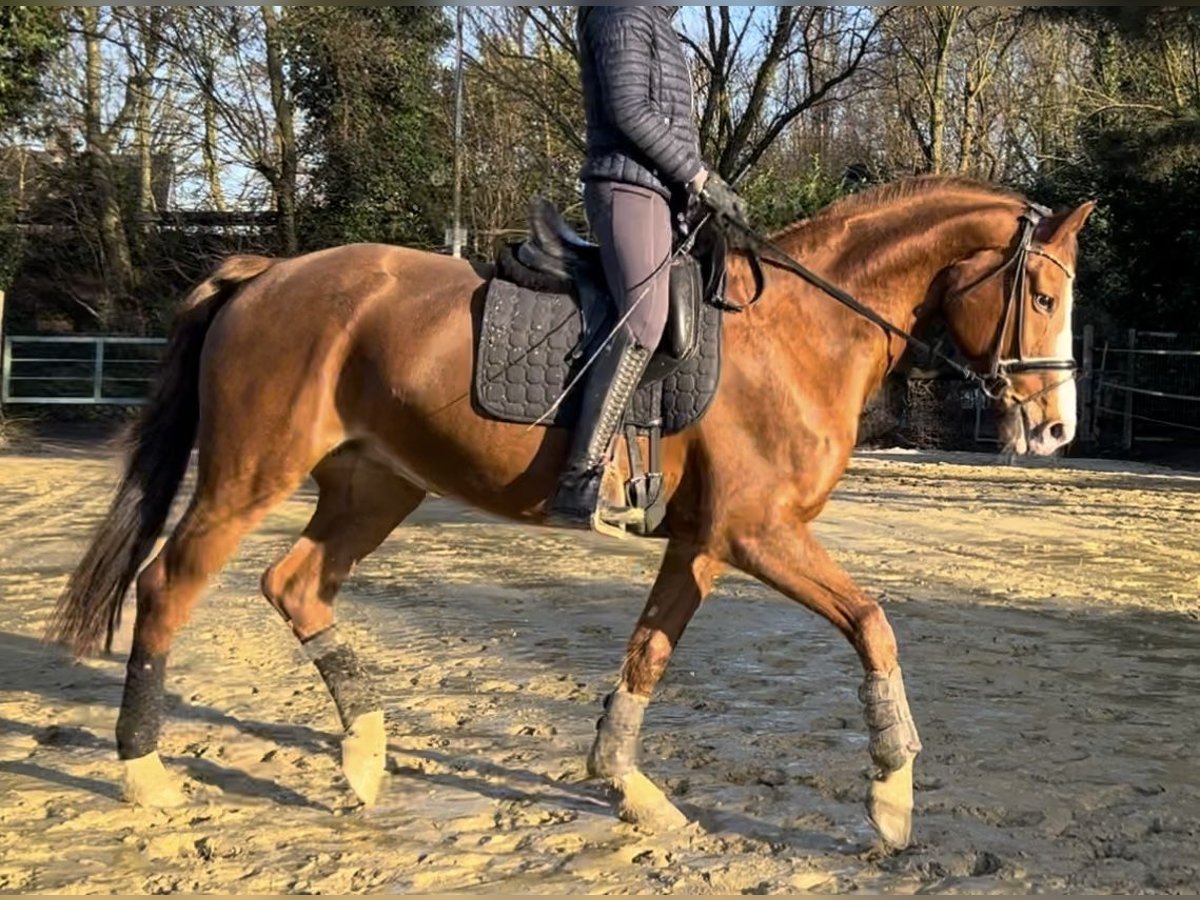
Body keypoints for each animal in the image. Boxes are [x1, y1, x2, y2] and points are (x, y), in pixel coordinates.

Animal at [49, 177, 1099, 854]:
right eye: (1045, 294)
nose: (1055, 430)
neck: (802, 333)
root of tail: (267, 273)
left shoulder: (706, 544)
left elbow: (648, 653)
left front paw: (629, 790)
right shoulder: (759, 533)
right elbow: (874, 623)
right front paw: (890, 800)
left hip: (375, 484)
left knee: (294, 583)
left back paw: (364, 757)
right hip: (249, 474)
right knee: (169, 584)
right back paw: (146, 774)